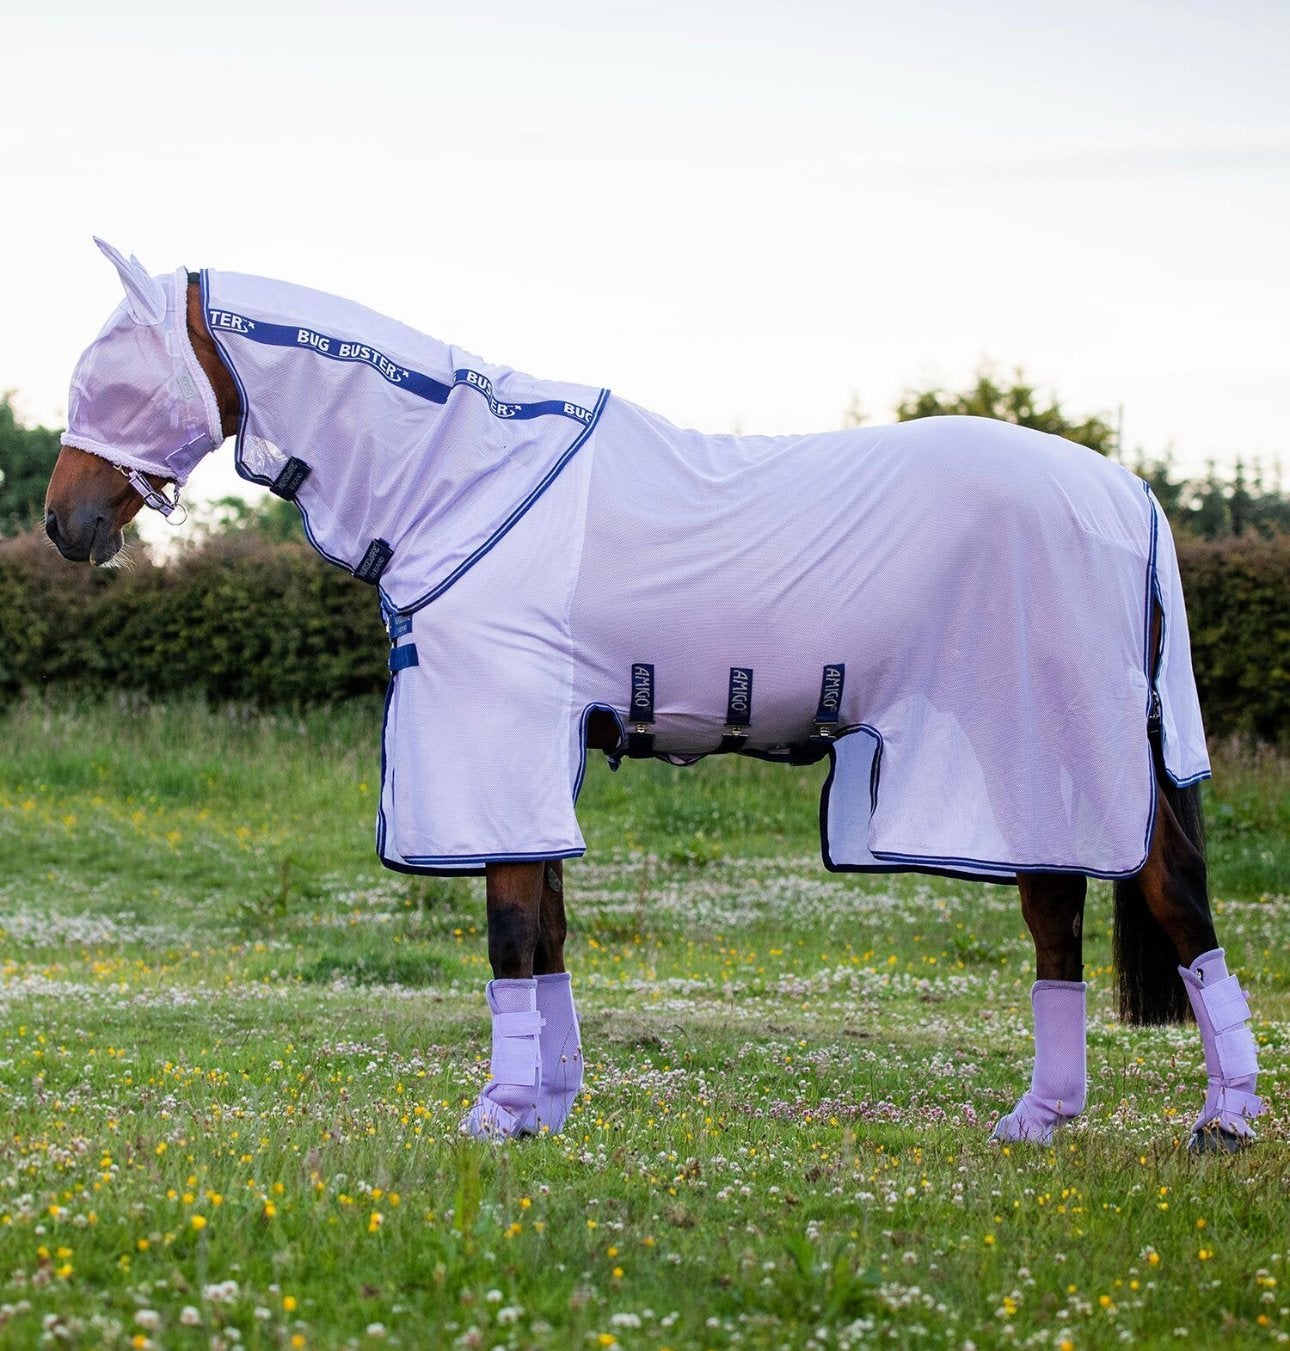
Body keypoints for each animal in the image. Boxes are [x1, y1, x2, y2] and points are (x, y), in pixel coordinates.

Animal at [44, 239, 1262, 1151]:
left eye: (113, 371)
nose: (65, 524)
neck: (465, 475)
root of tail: (1130, 493)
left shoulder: (496, 739)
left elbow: (510, 932)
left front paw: (497, 1112)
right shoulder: (542, 745)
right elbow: (547, 927)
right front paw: (547, 1106)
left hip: (1052, 745)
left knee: (1171, 902)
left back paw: (1223, 1120)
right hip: (1016, 757)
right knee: (1059, 920)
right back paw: (1042, 1118)